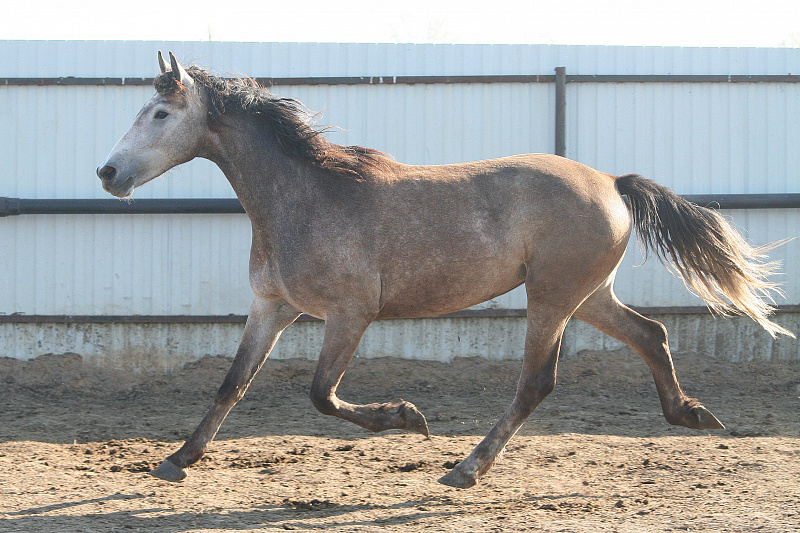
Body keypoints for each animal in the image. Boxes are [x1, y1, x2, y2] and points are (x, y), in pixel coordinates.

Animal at [97, 51, 792, 489]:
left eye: (159, 115)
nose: (107, 172)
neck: (304, 196)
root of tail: (613, 183)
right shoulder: (272, 307)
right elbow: (231, 384)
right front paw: (176, 460)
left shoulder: (349, 314)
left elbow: (321, 394)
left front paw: (407, 419)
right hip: (587, 294)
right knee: (653, 335)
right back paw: (693, 416)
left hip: (553, 296)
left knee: (537, 382)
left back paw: (464, 469)